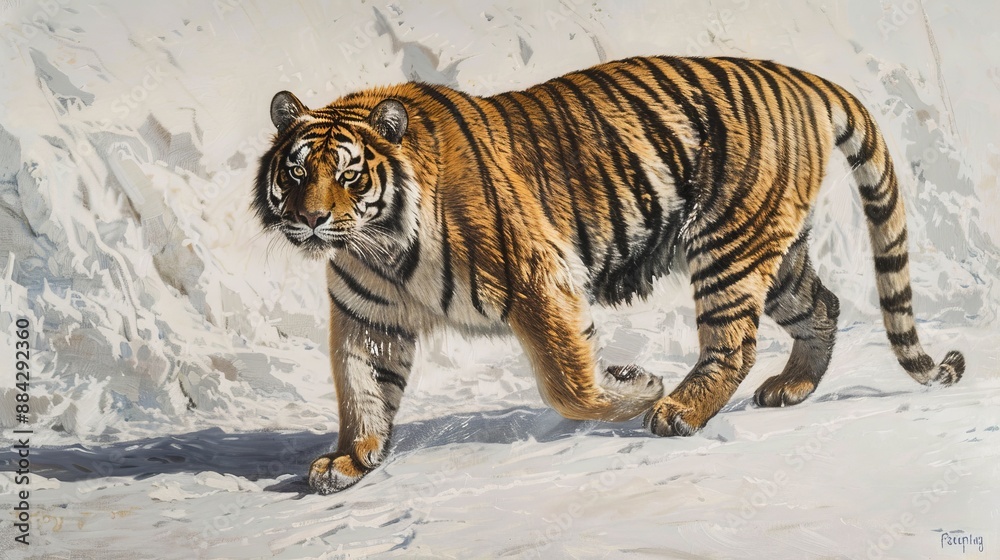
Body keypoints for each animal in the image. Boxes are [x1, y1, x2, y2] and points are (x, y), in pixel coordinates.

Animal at [252, 55, 965, 495]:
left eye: (350, 174)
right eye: (297, 171)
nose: (312, 220)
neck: (381, 244)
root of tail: (798, 76)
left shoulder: (539, 277)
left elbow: (568, 383)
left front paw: (638, 387)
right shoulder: (368, 316)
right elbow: (361, 389)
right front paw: (350, 460)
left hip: (729, 243)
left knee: (734, 342)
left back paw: (679, 409)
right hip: (776, 249)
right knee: (825, 306)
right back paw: (791, 387)